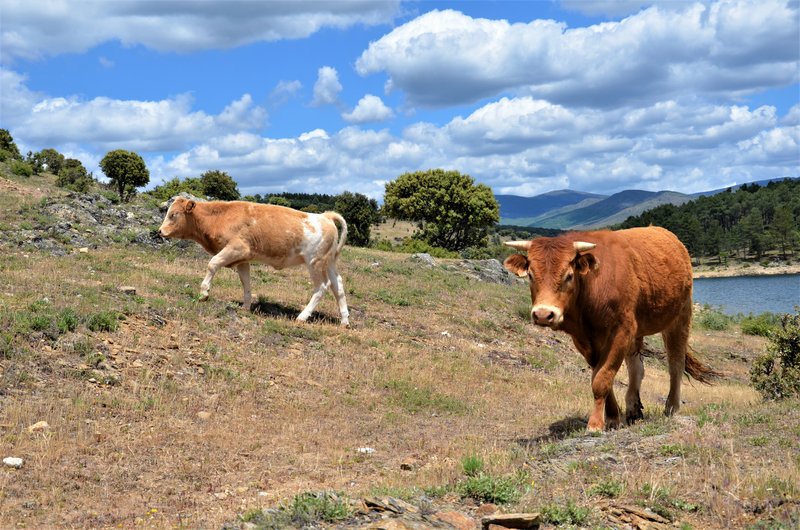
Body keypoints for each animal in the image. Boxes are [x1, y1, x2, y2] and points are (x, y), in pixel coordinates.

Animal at [159, 196, 350, 324]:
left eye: (174, 214)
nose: (160, 231)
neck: (220, 217)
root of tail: (325, 216)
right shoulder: (243, 259)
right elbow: (246, 282)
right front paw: (245, 307)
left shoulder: (237, 248)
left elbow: (212, 263)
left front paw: (204, 293)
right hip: (329, 262)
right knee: (338, 285)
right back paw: (344, 320)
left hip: (314, 262)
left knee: (322, 287)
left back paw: (302, 316)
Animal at [504, 226, 716, 428]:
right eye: (531, 275)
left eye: (569, 275)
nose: (543, 314)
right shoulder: (585, 341)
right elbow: (599, 375)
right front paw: (613, 417)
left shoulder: (621, 331)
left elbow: (603, 377)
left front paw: (596, 423)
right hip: (638, 329)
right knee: (637, 368)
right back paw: (633, 410)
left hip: (679, 317)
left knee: (675, 363)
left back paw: (671, 407)